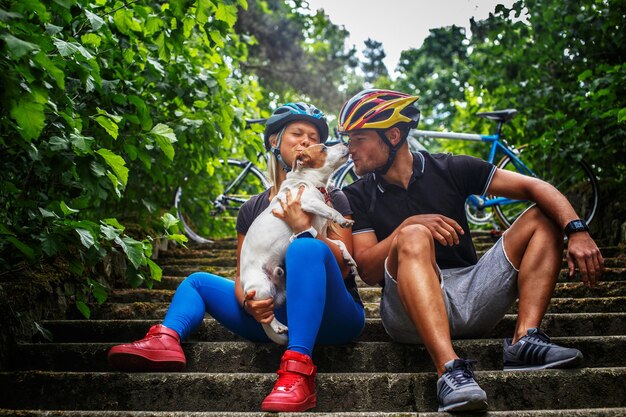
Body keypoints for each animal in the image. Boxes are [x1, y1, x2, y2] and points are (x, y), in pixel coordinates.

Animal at [239, 143, 356, 344]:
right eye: (324, 148)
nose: (346, 143)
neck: (310, 181)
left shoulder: (320, 232)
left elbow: (339, 244)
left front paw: (349, 259)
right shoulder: (308, 201)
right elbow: (329, 210)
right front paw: (342, 219)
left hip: (280, 292)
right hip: (262, 288)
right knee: (265, 318)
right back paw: (278, 326)